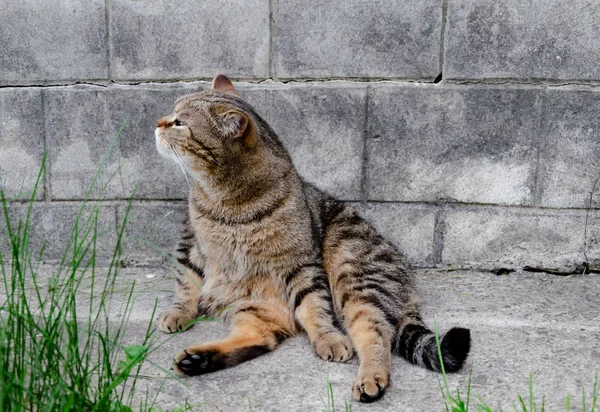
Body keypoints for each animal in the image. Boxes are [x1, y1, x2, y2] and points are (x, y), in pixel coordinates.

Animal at [154, 75, 468, 402]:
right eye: (172, 114)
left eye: (179, 122)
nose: (157, 123)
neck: (231, 201)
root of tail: (407, 285)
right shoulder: (190, 243)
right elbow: (186, 284)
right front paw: (178, 312)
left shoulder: (301, 261)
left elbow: (314, 306)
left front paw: (327, 336)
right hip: (254, 307)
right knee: (262, 338)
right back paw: (197, 359)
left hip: (353, 272)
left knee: (375, 333)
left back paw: (370, 378)